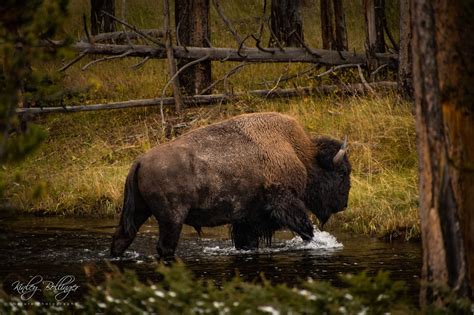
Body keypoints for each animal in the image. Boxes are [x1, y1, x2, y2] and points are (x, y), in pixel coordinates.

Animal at [110, 112, 348, 258]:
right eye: (342, 173)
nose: (343, 205)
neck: (299, 153)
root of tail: (139, 161)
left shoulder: (247, 219)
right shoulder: (286, 203)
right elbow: (306, 229)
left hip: (139, 211)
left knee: (121, 238)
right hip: (171, 219)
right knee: (164, 247)